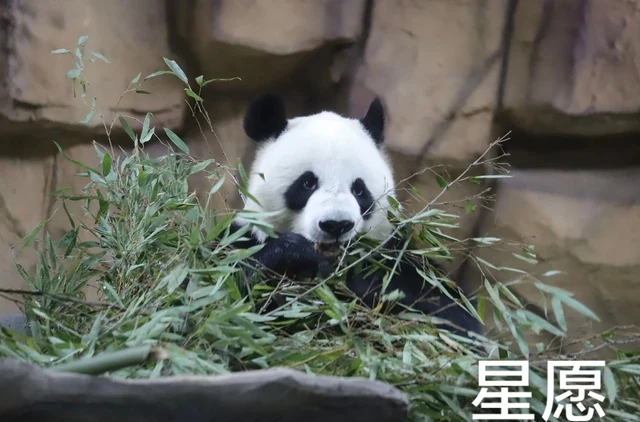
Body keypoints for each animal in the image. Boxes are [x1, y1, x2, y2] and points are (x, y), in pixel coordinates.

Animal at [224, 93, 481, 337]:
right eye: (307, 183)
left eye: (359, 189)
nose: (336, 225)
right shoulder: (241, 238)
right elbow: (233, 293)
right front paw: (292, 253)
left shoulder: (401, 258)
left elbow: (450, 316)